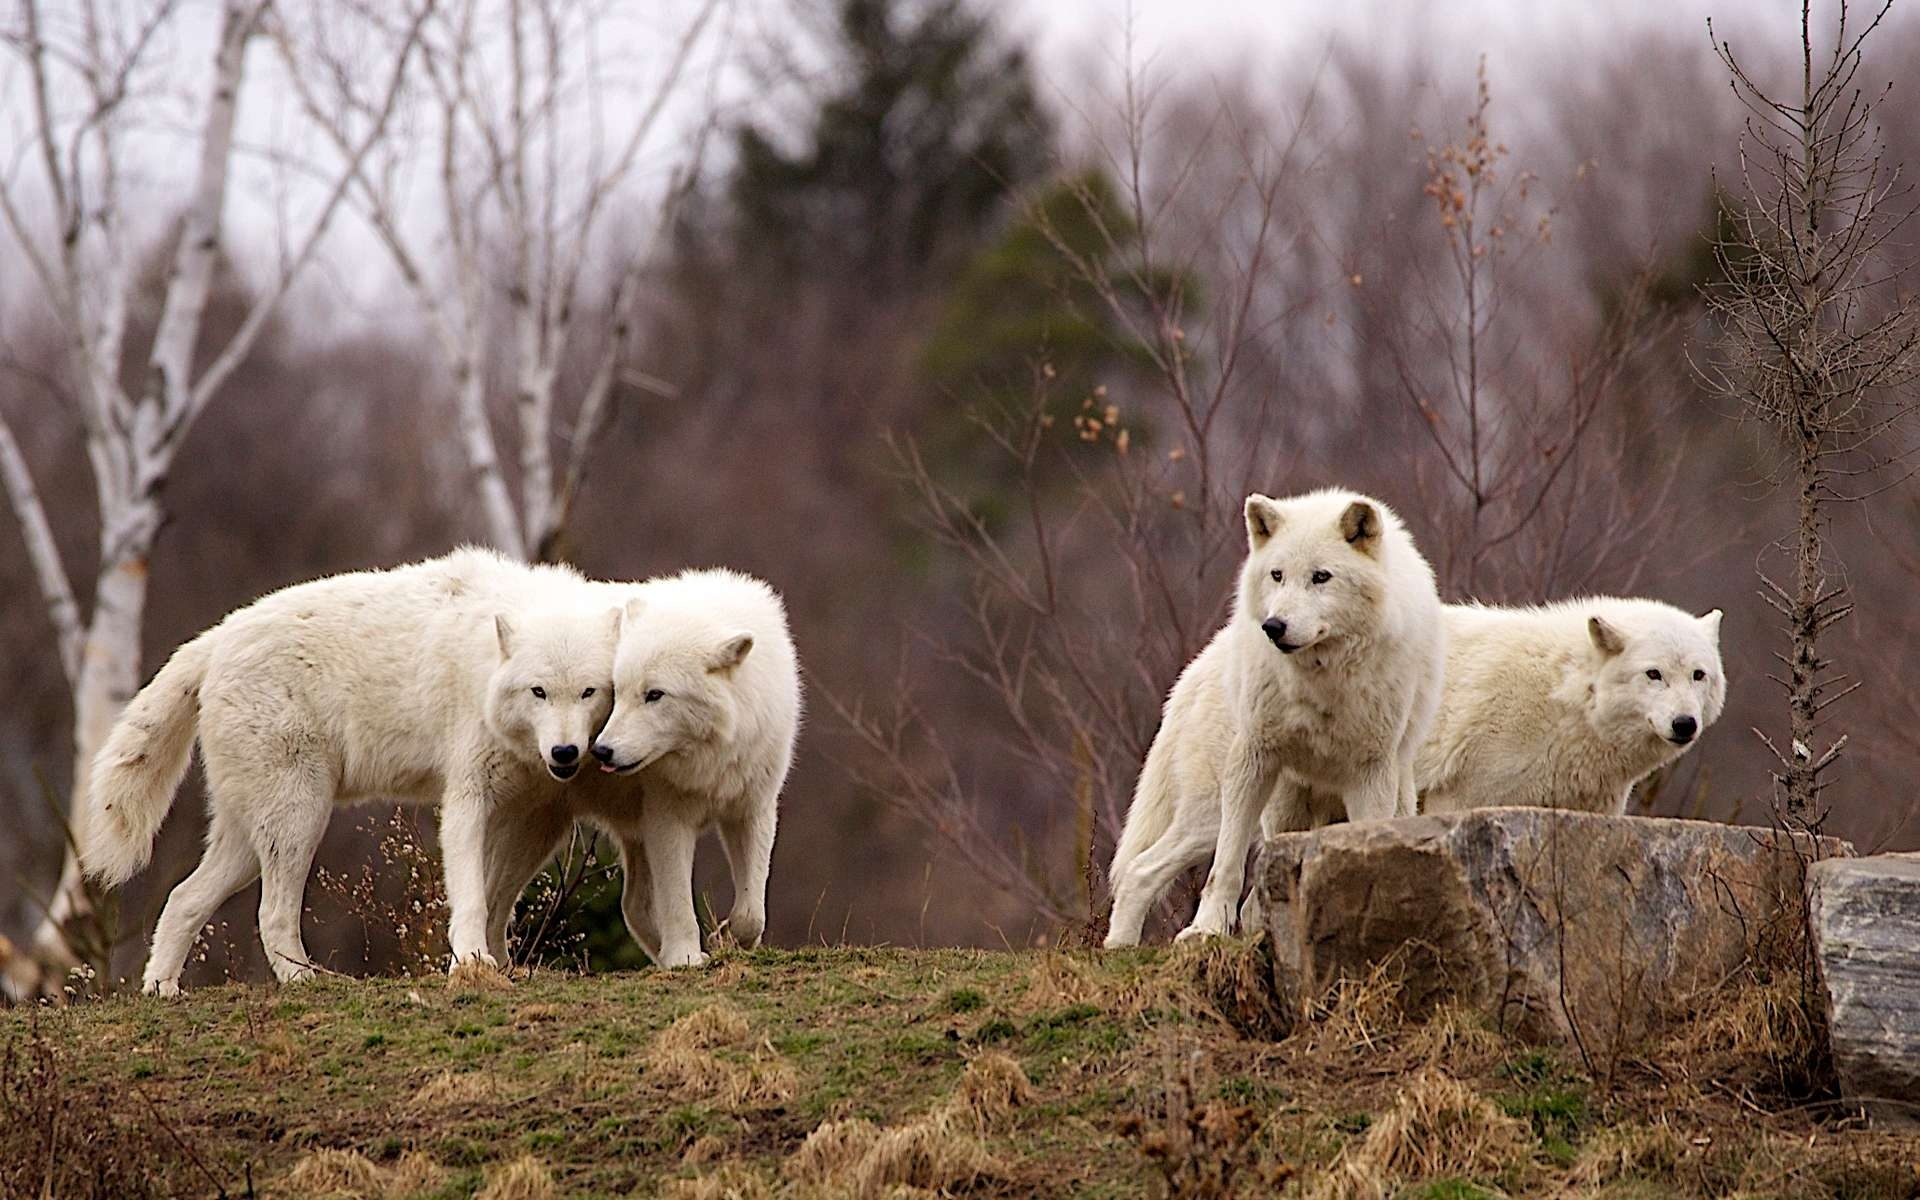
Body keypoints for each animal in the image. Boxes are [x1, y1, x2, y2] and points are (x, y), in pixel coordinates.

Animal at [81, 548, 619, 995]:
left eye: (589, 692)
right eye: (539, 692)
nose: (565, 752)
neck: (484, 664)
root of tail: (217, 637)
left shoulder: (537, 818)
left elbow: (499, 897)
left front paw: (501, 966)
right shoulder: (468, 797)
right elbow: (471, 896)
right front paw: (470, 965)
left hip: (249, 838)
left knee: (181, 899)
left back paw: (162, 991)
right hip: (299, 819)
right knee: (269, 914)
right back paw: (307, 980)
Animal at [1104, 489, 1445, 947]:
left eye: (1321, 577)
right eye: (1277, 575)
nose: (1274, 626)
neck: (1319, 679)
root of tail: (1193, 669)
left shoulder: (1371, 772)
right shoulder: (1254, 756)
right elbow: (1224, 869)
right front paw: (1205, 929)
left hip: (1381, 794)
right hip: (1224, 814)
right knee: (1141, 869)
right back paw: (1119, 946)